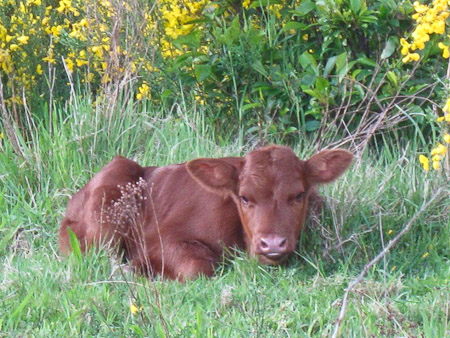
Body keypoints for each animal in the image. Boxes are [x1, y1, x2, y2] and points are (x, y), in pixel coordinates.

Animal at [59, 145, 352, 280]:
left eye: (299, 195)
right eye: (245, 197)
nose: (272, 243)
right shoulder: (159, 240)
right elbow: (197, 267)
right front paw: (140, 269)